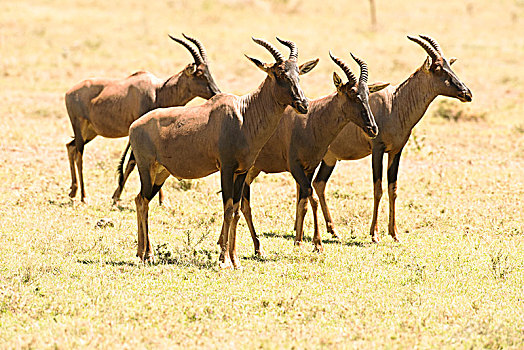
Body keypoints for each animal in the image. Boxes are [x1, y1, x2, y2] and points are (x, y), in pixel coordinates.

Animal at [66, 34, 221, 204]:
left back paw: (73, 191)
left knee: (70, 146)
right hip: (79, 127)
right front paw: (116, 197)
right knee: (79, 154)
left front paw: (162, 201)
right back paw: (83, 197)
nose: (217, 93)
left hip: (90, 132)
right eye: (199, 73)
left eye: (209, 71)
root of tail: (69, 92)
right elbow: (132, 162)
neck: (158, 90)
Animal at [127, 37, 320, 266]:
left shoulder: (242, 172)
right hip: (146, 169)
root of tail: (134, 126)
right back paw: (146, 254)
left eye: (298, 73)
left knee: (141, 199)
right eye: (280, 73)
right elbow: (227, 210)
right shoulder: (226, 169)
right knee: (142, 202)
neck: (244, 113)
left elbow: (236, 211)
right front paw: (223, 259)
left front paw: (235, 259)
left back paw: (144, 253)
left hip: (160, 174)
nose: (303, 104)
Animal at [237, 52, 388, 254]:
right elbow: (313, 198)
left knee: (244, 203)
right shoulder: (295, 167)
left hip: (253, 170)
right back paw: (256, 247)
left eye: (367, 94)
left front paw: (299, 242)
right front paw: (317, 244)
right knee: (244, 203)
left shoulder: (309, 168)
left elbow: (304, 202)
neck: (311, 119)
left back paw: (257, 246)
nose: (373, 129)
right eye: (352, 94)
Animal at [314, 35, 472, 243]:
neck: (394, 103)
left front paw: (395, 233)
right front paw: (374, 234)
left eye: (448, 64)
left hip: (330, 159)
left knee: (318, 183)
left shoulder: (396, 151)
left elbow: (393, 189)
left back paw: (333, 231)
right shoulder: (377, 150)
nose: (467, 93)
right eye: (437, 68)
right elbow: (378, 188)